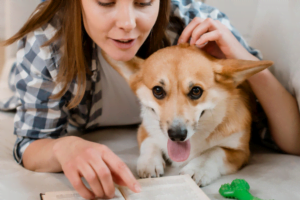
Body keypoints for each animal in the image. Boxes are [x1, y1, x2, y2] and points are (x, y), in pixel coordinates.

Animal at [102, 43, 274, 186]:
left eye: (196, 91)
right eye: (157, 90)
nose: (177, 135)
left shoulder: (240, 152)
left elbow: (214, 151)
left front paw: (197, 169)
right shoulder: (145, 128)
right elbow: (150, 142)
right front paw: (149, 163)